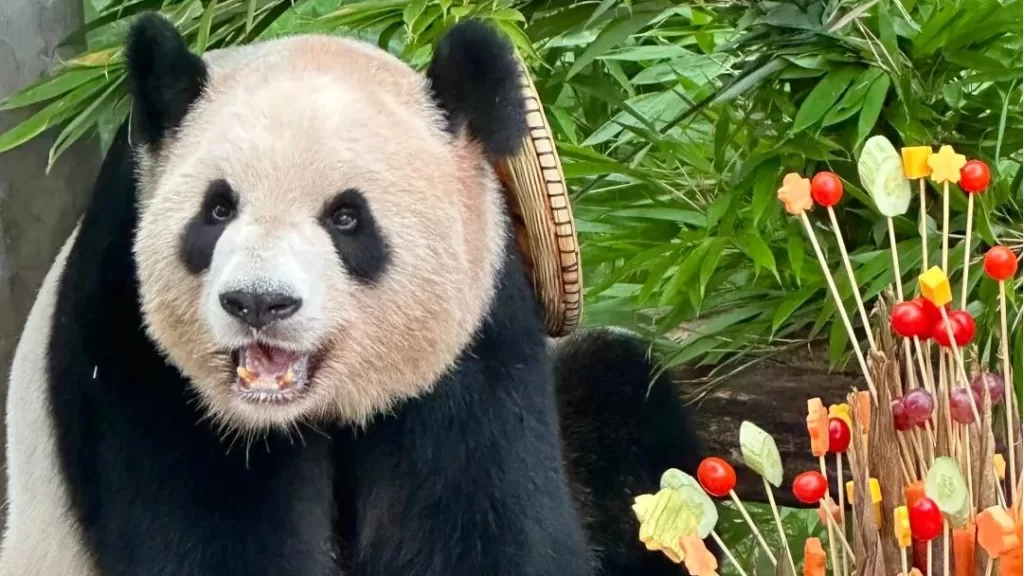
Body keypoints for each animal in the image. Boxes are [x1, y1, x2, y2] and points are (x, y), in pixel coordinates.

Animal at [0, 13, 705, 576]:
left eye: (346, 218)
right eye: (218, 209)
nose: (258, 303)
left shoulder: (476, 337)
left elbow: (484, 521)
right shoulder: (139, 348)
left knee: (620, 397)